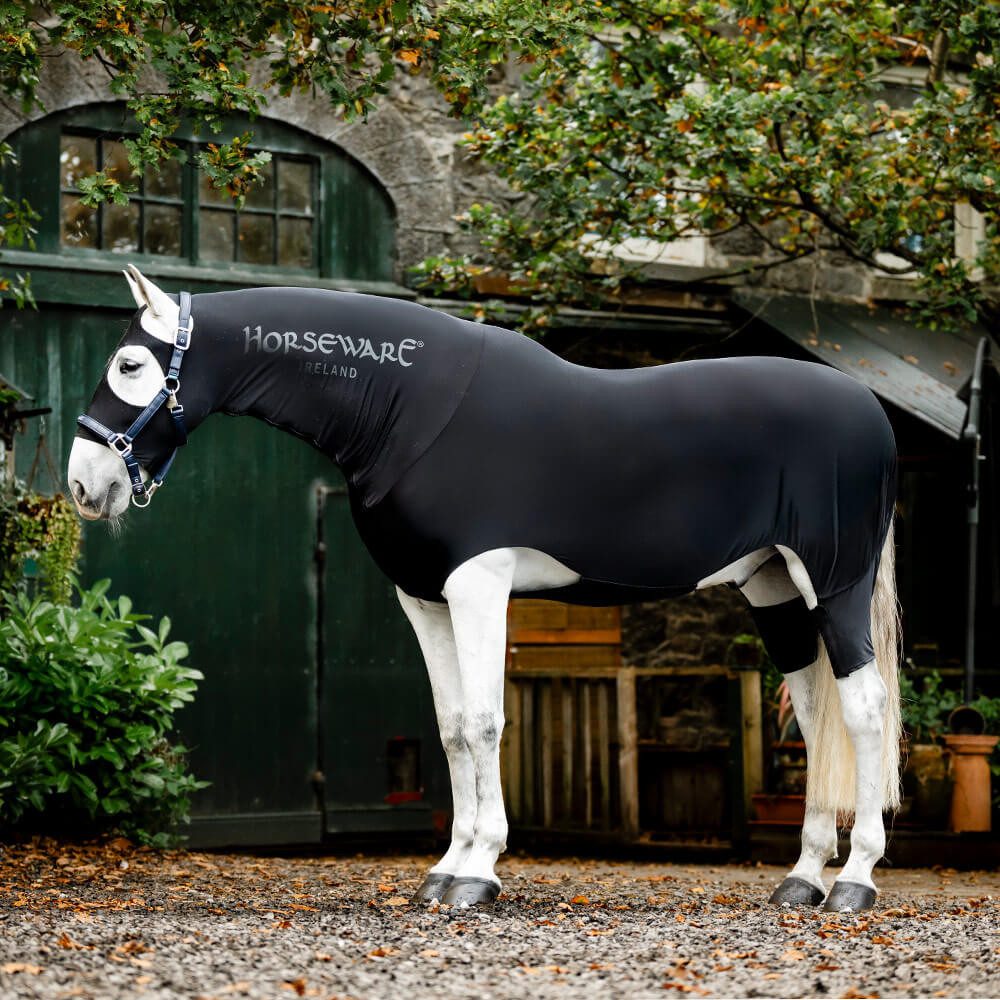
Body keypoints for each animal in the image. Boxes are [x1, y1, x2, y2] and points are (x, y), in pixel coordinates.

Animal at [69, 265, 902, 912]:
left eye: (132, 365)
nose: (84, 484)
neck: (408, 410)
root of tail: (871, 413)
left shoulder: (479, 584)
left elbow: (483, 723)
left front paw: (478, 873)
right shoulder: (424, 596)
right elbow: (449, 727)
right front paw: (445, 869)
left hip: (835, 583)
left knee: (865, 711)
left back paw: (855, 881)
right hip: (774, 589)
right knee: (816, 715)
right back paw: (802, 879)